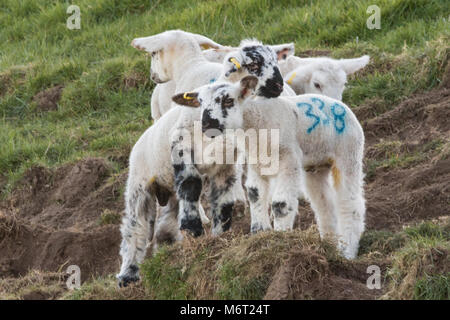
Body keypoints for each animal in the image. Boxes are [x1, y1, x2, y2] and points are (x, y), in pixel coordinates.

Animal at [118, 30, 288, 288]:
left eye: (229, 100)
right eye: (254, 64)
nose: (278, 86)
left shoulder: (227, 165)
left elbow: (223, 202)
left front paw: (218, 237)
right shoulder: (181, 146)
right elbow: (191, 185)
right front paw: (194, 228)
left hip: (167, 187)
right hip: (139, 183)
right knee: (135, 226)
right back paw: (128, 275)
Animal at [172, 77, 366, 260]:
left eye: (228, 100)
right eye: (200, 103)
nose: (206, 124)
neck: (255, 124)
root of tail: (342, 105)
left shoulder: (289, 159)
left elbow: (280, 203)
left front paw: (280, 239)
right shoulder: (255, 162)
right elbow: (254, 193)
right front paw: (259, 234)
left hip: (348, 153)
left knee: (350, 203)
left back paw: (347, 251)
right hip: (316, 167)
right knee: (324, 204)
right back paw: (329, 245)